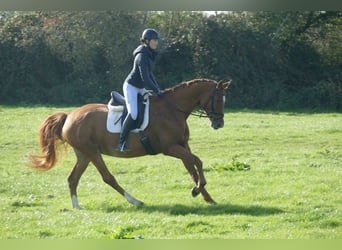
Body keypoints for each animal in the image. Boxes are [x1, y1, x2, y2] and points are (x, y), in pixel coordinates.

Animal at [29, 79, 232, 208]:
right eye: (217, 99)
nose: (219, 124)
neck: (173, 109)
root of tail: (69, 116)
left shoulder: (182, 146)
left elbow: (192, 168)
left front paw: (206, 196)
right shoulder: (170, 148)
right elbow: (197, 161)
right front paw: (198, 189)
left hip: (84, 154)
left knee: (73, 178)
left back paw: (77, 207)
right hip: (92, 152)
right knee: (108, 177)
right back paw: (136, 201)